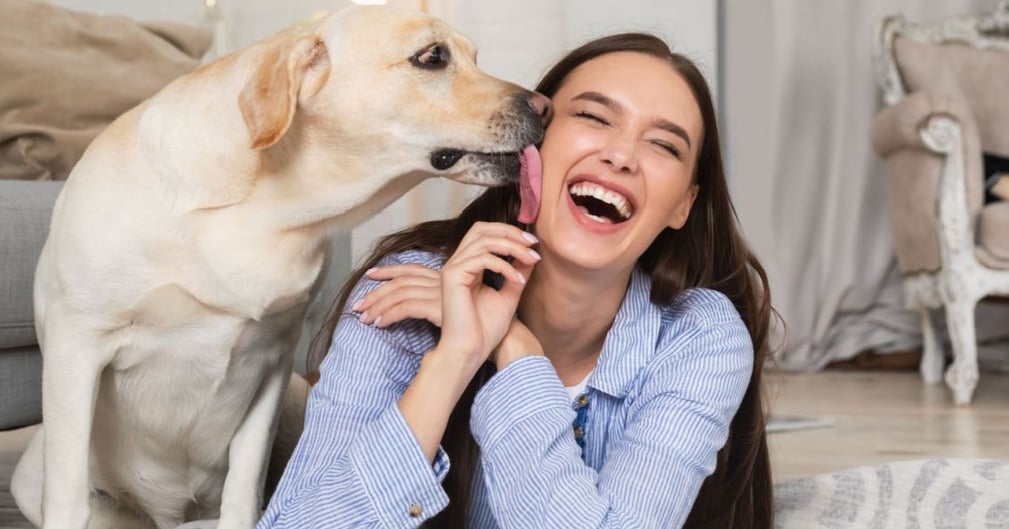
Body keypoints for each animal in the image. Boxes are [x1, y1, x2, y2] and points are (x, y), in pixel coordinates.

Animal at [9, 5, 544, 529]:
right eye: (432, 56)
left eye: (474, 57)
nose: (544, 108)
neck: (265, 211)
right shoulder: (78, 344)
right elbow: (69, 499)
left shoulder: (273, 356)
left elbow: (244, 488)